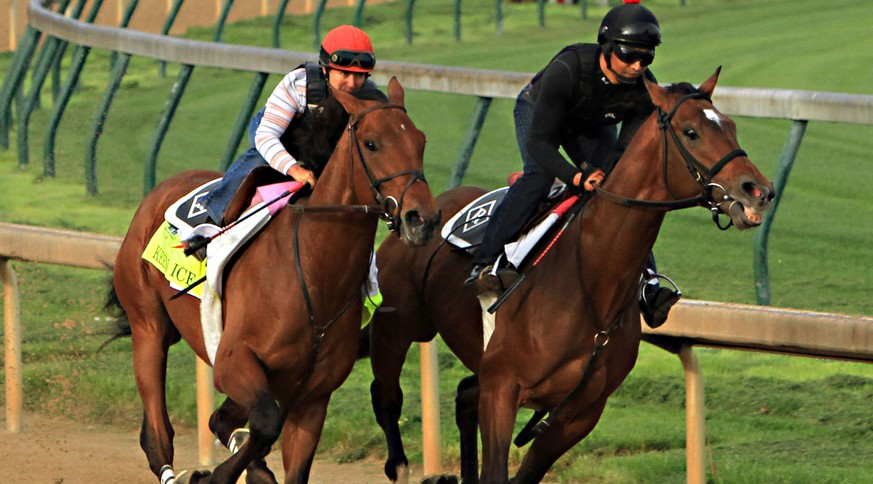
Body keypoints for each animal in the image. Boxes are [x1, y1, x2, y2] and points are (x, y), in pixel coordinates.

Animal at [106, 77, 440, 482]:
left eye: (421, 141)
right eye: (372, 143)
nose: (422, 220)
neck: (315, 273)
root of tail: (159, 191)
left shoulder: (313, 396)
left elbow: (282, 452)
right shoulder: (233, 363)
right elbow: (266, 423)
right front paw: (219, 474)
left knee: (218, 420)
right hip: (148, 326)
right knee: (157, 434)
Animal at [366, 70, 768, 482]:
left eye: (732, 126)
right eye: (691, 132)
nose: (758, 191)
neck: (590, 283)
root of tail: (425, 209)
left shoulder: (579, 413)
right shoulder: (502, 389)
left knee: (463, 397)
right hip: (398, 328)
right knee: (386, 396)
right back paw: (398, 463)